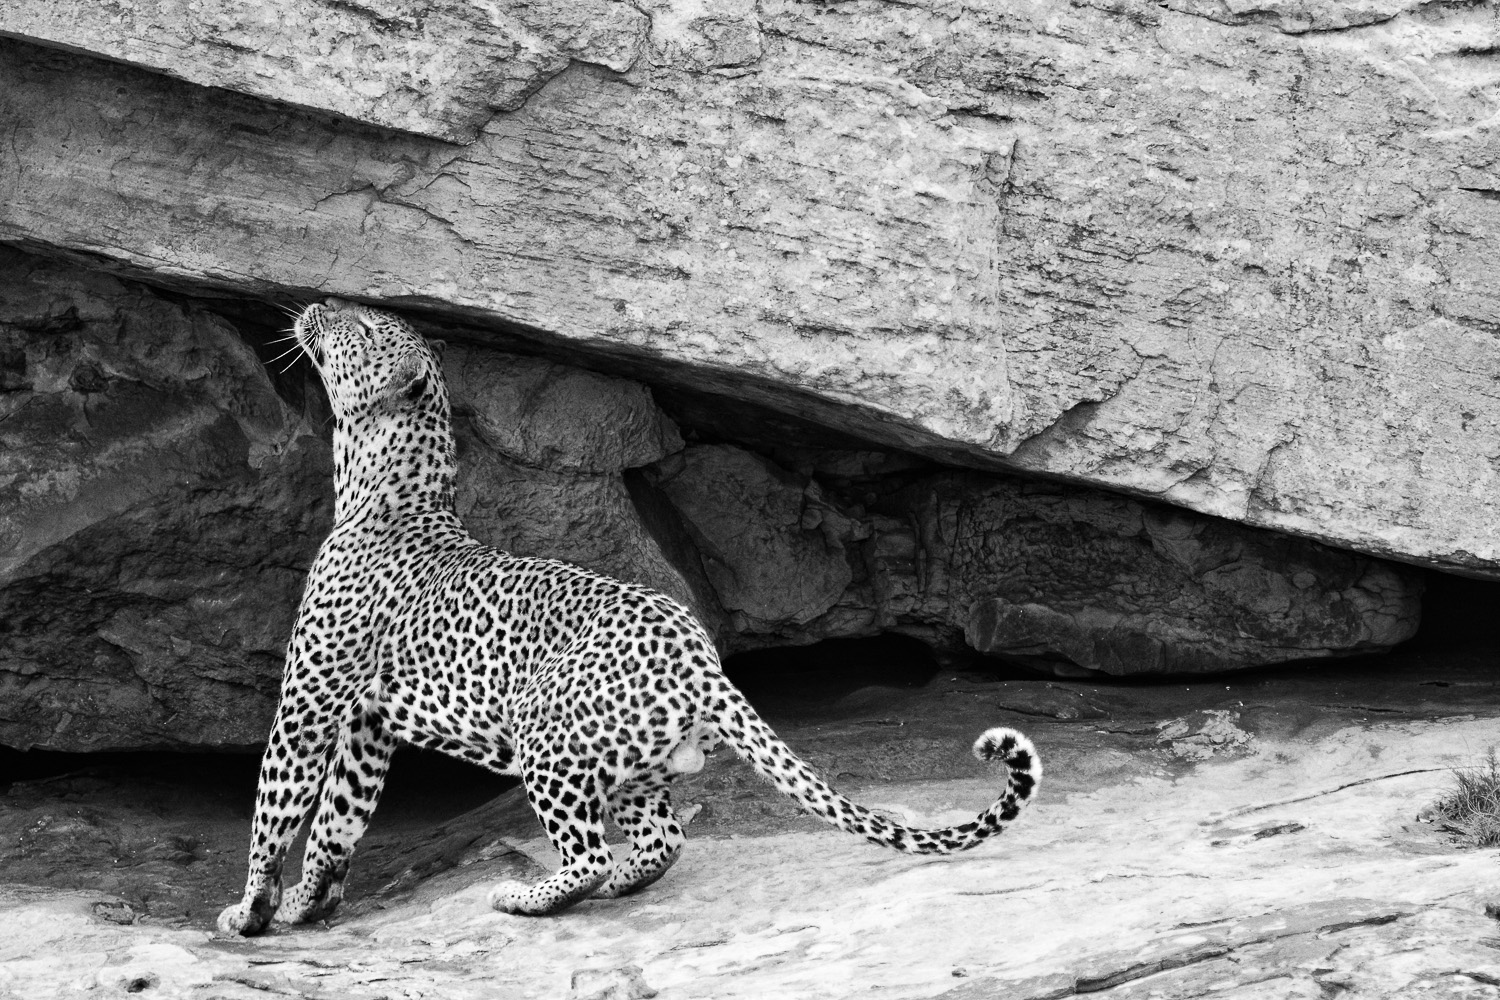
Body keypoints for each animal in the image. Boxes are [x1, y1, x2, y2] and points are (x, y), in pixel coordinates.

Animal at [216, 299, 1041, 935]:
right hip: (631, 764)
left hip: (546, 730)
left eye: (358, 326)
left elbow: (276, 805)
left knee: (589, 853)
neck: (377, 482)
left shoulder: (310, 702)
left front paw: (251, 910)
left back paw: (524, 896)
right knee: (659, 843)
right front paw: (307, 904)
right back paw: (605, 888)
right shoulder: (368, 722)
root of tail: (702, 656)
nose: (316, 304)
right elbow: (337, 821)